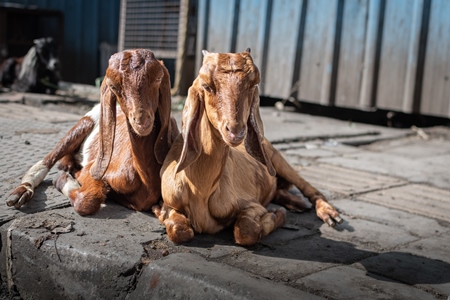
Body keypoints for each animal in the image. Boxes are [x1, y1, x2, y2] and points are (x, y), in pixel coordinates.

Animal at [153, 49, 342, 246]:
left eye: (253, 85)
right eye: (207, 86)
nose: (235, 131)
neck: (200, 191)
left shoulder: (252, 205)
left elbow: (246, 230)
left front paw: (277, 215)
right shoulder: (171, 202)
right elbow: (178, 231)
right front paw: (158, 211)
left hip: (277, 159)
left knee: (309, 188)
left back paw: (328, 214)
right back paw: (296, 202)